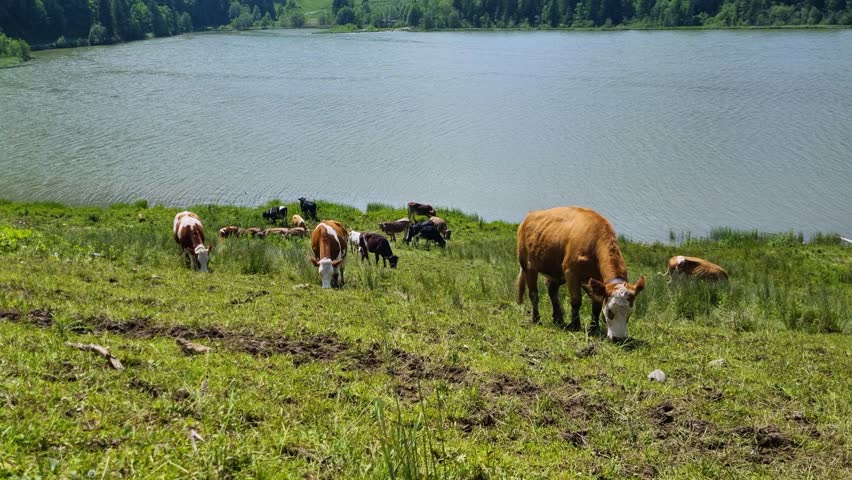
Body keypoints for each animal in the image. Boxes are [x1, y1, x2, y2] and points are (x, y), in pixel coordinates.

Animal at [515, 206, 646, 341]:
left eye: (630, 313)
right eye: (610, 311)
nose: (619, 338)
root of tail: (529, 216)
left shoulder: (595, 281)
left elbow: (597, 303)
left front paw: (594, 328)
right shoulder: (571, 272)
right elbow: (576, 301)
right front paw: (575, 325)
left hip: (556, 272)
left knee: (552, 291)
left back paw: (558, 319)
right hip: (528, 265)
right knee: (533, 293)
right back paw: (536, 319)